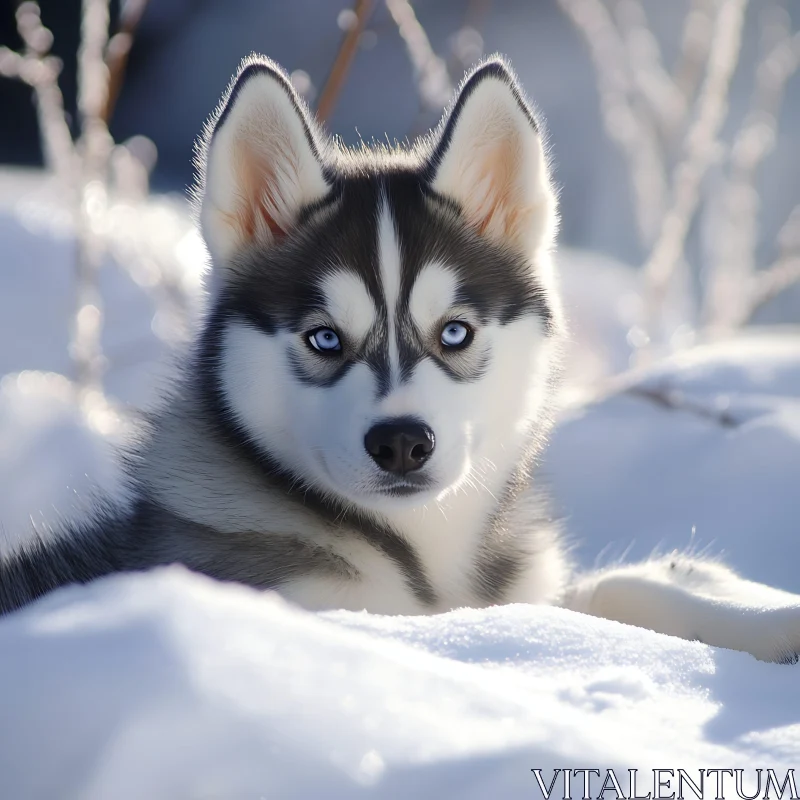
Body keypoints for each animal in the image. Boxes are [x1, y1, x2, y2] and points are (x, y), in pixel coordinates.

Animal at [1, 54, 800, 664]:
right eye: (324, 338)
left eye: (455, 333)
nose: (402, 444)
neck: (422, 569)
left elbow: (611, 588)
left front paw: (762, 619)